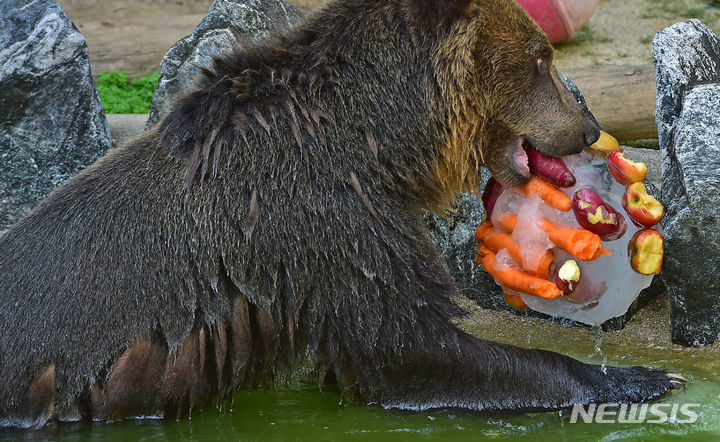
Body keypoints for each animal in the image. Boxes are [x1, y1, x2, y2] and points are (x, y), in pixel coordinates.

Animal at [0, 0, 676, 430]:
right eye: (541, 58)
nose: (586, 124)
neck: (379, 142)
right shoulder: (326, 219)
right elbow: (406, 346)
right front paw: (638, 379)